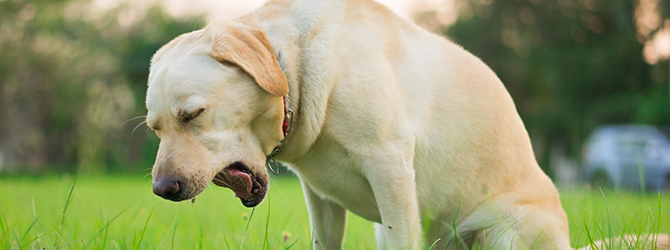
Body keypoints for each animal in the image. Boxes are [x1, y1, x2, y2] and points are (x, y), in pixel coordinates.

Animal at [144, 0, 668, 250]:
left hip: (511, 228)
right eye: (155, 129)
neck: (295, 65)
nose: (163, 189)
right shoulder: (320, 200)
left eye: (193, 114)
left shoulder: (390, 167)